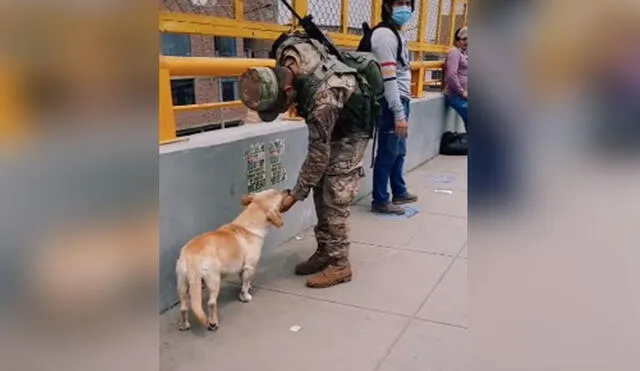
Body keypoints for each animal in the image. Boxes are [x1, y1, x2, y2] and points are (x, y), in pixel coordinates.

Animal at [174, 189, 286, 332]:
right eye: (276, 193)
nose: (288, 190)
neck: (249, 224)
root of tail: (190, 255)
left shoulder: (242, 269)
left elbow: (243, 282)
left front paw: (244, 291)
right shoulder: (250, 267)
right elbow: (244, 285)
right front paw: (245, 297)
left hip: (182, 285)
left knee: (183, 307)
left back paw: (185, 325)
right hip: (214, 280)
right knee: (211, 303)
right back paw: (213, 323)